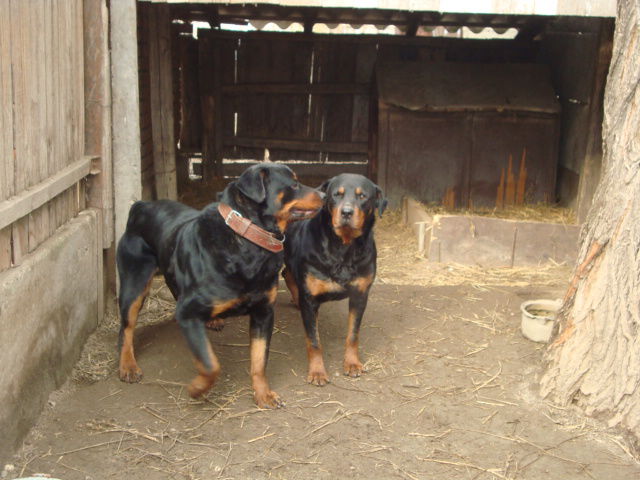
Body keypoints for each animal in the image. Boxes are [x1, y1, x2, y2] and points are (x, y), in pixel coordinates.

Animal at [115, 163, 322, 406]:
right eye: (294, 184)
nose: (324, 194)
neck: (246, 239)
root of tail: (141, 205)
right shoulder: (187, 312)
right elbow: (210, 364)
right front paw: (197, 388)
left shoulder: (263, 313)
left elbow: (259, 361)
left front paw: (263, 394)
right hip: (133, 284)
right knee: (126, 327)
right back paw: (128, 366)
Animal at [284, 174, 384, 384]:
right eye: (336, 195)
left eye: (362, 196)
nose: (346, 212)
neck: (343, 248)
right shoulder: (310, 300)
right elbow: (314, 341)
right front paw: (317, 372)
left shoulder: (360, 295)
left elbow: (353, 335)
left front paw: (352, 363)